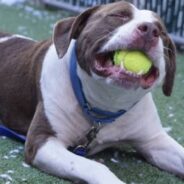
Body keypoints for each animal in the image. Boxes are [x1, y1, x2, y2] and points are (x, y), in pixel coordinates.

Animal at [0, 1, 184, 184]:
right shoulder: (41, 141)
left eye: (161, 30)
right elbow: (94, 166)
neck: (107, 102)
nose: (150, 29)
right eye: (119, 15)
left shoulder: (155, 141)